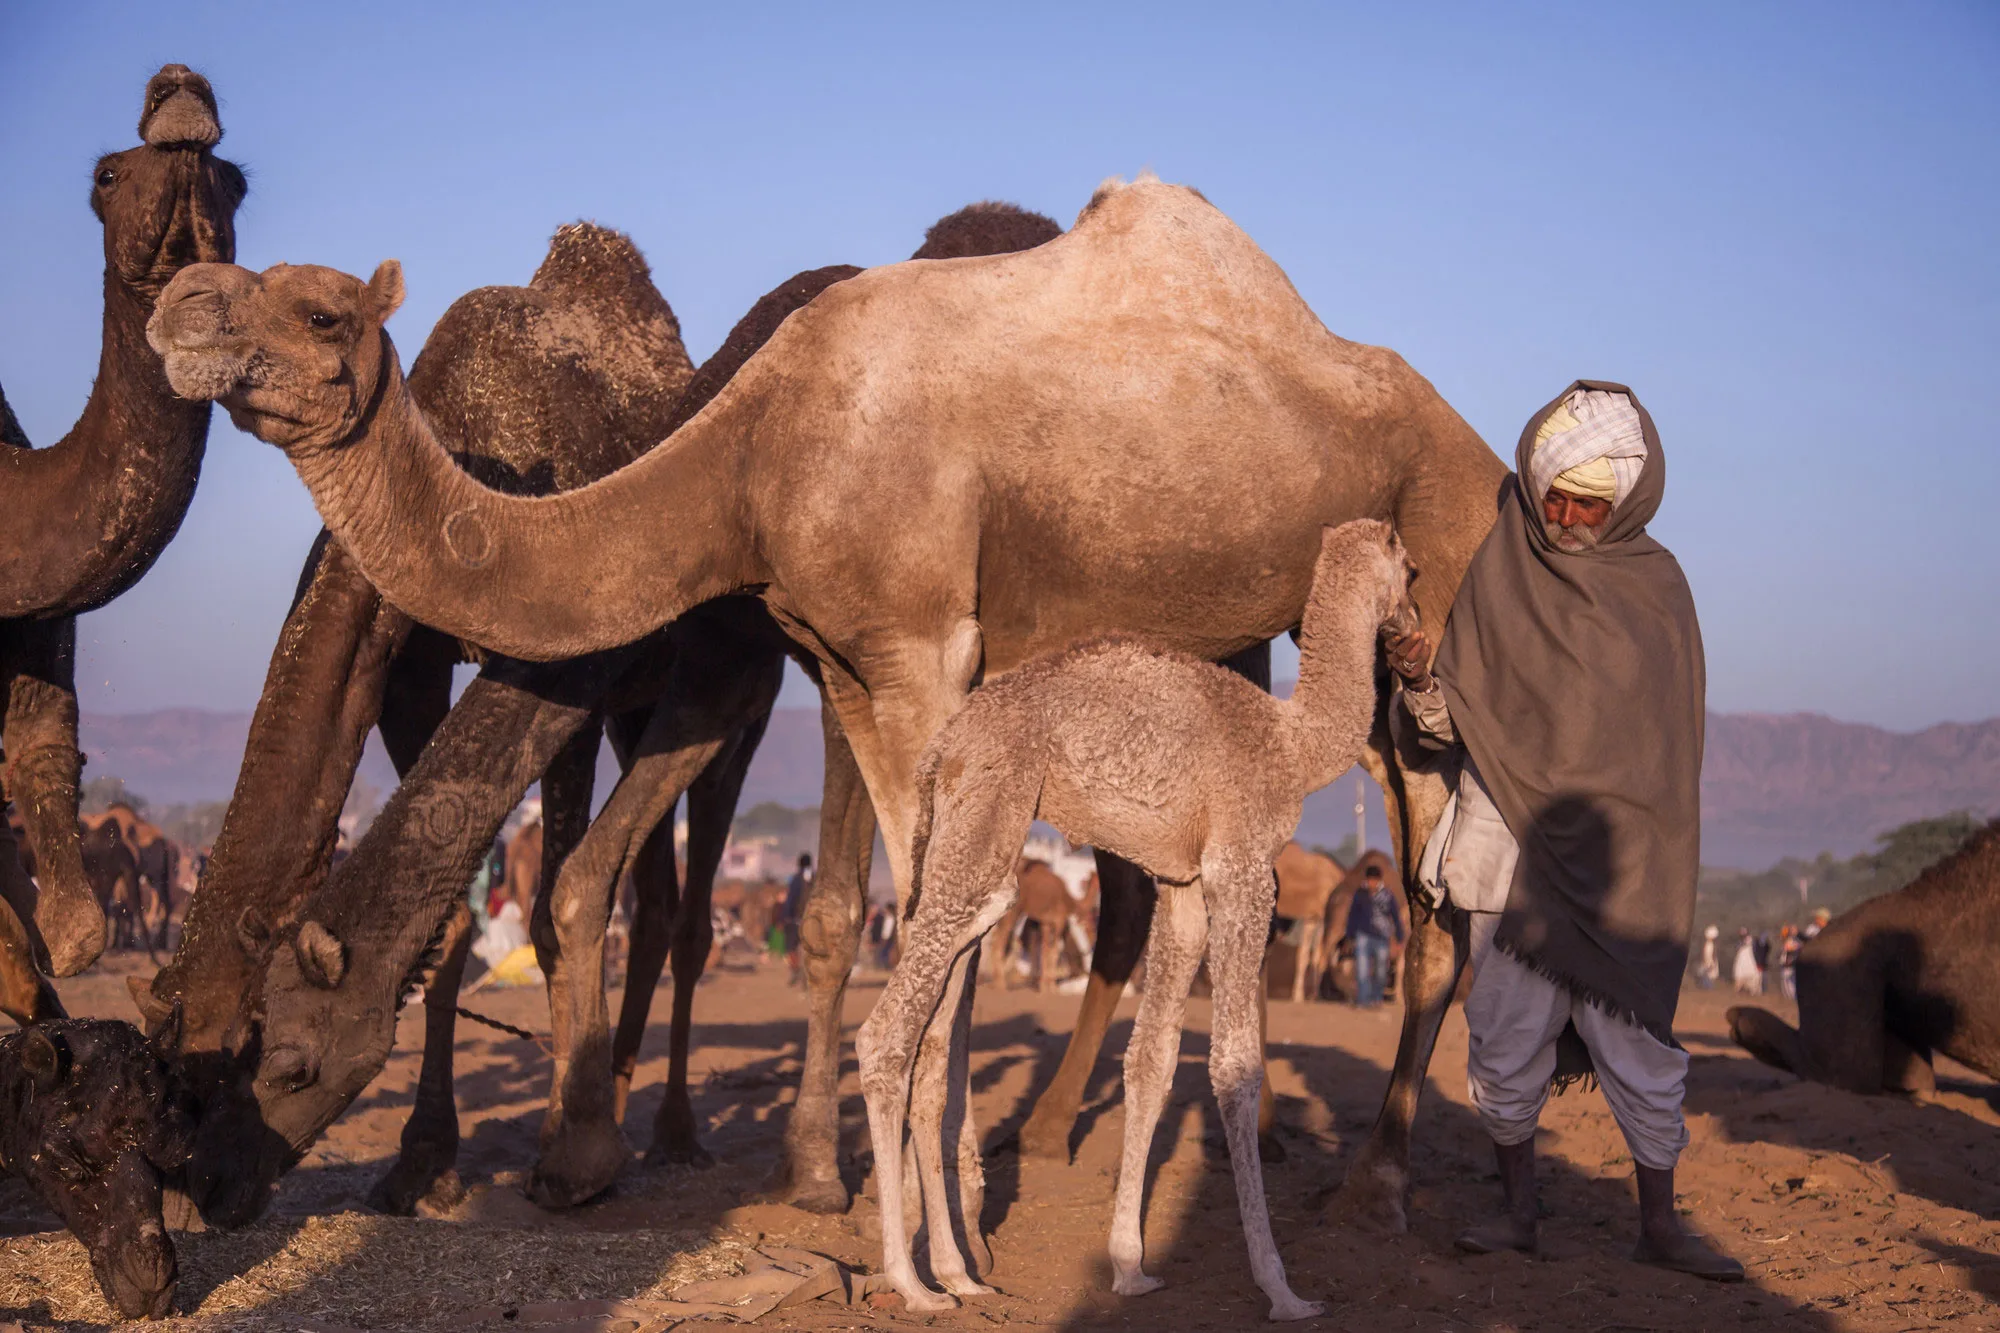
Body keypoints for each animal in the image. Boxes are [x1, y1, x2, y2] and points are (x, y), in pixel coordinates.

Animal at [148, 176, 1504, 1232]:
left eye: (318, 310)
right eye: (206, 1051)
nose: (204, 1185)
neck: (744, 451)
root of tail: (1475, 441)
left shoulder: (917, 645)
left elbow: (932, 917)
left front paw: (911, 1212)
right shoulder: (842, 662)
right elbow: (908, 909)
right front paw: (902, 1196)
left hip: (1434, 583)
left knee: (1433, 902)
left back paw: (1369, 1182)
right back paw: (1134, 1137)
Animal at [859, 520, 1415, 1318]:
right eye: (1409, 567)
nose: (1410, 625)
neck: (1291, 742)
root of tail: (944, 745)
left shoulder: (1182, 884)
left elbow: (1150, 1059)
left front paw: (1129, 1264)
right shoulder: (1242, 866)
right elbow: (1236, 1066)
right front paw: (1280, 1286)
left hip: (974, 839)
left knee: (939, 1022)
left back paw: (957, 1272)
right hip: (992, 814)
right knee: (885, 1035)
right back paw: (911, 1282)